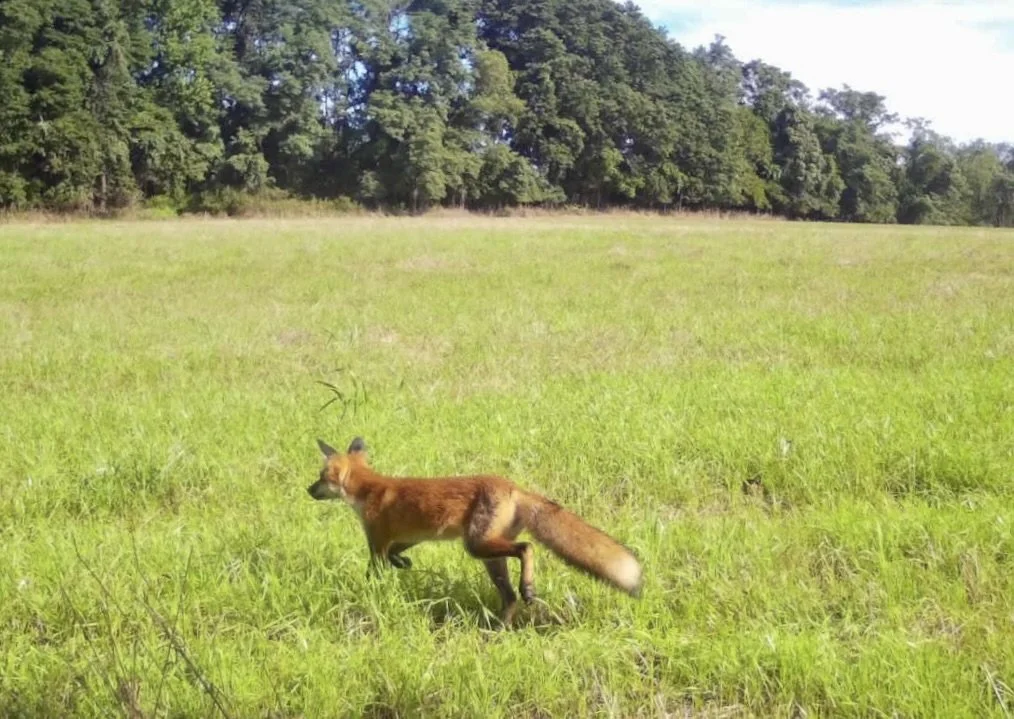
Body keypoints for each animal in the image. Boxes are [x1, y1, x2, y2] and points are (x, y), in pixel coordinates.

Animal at [306, 437, 643, 624]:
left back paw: (528, 588)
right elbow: (397, 557)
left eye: (321, 477)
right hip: (490, 556)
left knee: (527, 549)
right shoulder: (404, 540)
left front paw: (367, 597)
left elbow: (374, 573)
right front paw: (404, 564)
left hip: (477, 545)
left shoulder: (377, 542)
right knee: (509, 597)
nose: (308, 490)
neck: (369, 489)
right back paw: (499, 629)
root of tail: (513, 486)